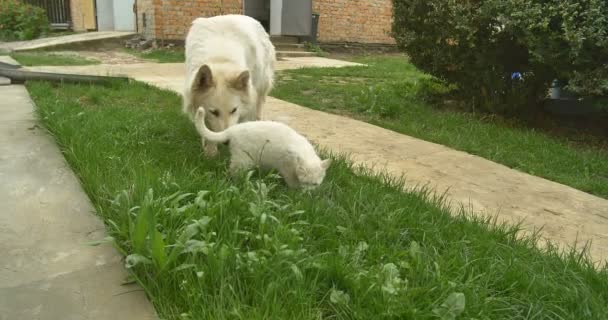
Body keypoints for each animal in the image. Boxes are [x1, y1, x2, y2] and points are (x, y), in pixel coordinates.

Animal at [180, 14, 276, 156]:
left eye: (234, 110)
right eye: (214, 112)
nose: (228, 142)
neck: (220, 58)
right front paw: (211, 152)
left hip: (261, 85)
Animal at [195, 107, 330, 189]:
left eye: (315, 184)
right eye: (306, 183)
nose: (307, 194)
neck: (305, 152)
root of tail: (233, 129)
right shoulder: (286, 167)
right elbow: (291, 180)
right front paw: (296, 192)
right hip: (243, 160)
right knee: (233, 172)